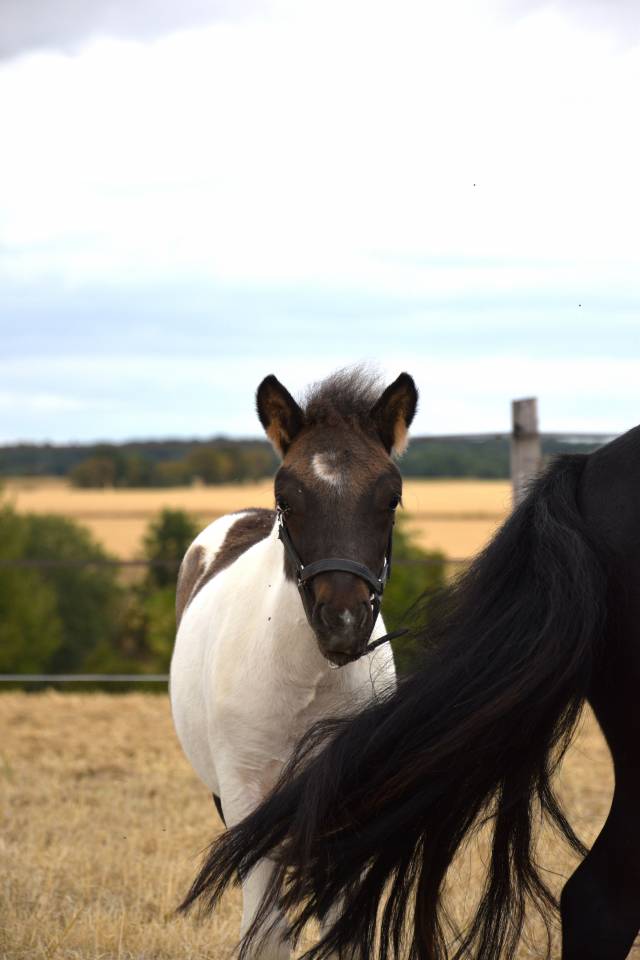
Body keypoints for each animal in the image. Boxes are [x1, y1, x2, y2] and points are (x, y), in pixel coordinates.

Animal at [170, 368, 418, 958]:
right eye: (287, 496)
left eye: (391, 498)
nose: (342, 622)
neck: (308, 684)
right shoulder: (246, 801)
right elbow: (266, 932)